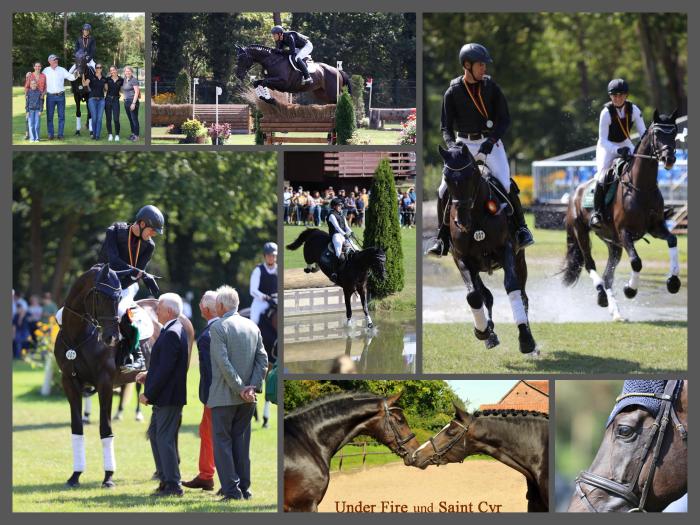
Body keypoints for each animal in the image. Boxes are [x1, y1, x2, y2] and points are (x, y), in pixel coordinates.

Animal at [440, 145, 540, 354]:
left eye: (471, 175)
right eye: (446, 178)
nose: (462, 222)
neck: (476, 218)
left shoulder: (506, 250)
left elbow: (512, 287)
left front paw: (525, 339)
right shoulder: (461, 259)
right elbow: (473, 296)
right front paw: (483, 332)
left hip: (520, 260)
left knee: (523, 296)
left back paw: (530, 340)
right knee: (485, 295)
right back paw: (490, 333)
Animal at [564, 110, 680, 320]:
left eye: (674, 132)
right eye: (657, 134)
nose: (669, 159)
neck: (642, 188)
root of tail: (576, 192)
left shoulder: (656, 227)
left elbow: (672, 240)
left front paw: (673, 282)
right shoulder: (625, 233)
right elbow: (636, 261)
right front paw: (630, 289)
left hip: (613, 243)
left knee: (608, 276)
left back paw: (616, 313)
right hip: (582, 232)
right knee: (590, 265)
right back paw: (602, 296)